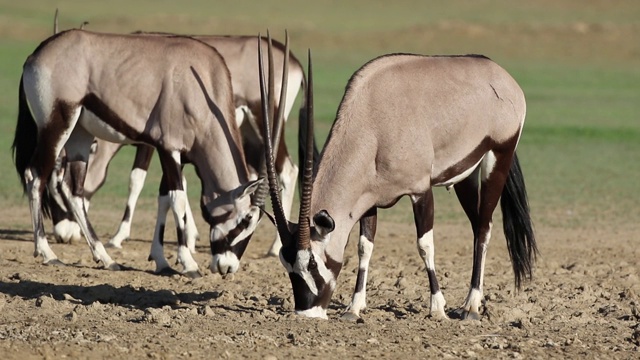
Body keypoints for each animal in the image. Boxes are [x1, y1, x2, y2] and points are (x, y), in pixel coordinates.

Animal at [11, 30, 262, 278]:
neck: (202, 82)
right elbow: (177, 199)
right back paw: (48, 253)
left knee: (73, 189)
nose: (227, 267)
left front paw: (161, 260)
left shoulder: (172, 154)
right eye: (246, 219)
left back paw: (106, 258)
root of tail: (35, 55)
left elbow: (164, 198)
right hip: (57, 125)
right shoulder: (169, 148)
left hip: (79, 135)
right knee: (35, 175)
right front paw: (188, 264)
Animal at [258, 40, 536, 320]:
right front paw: (354, 307)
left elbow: (425, 245)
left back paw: (471, 305)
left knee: (484, 228)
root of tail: (504, 77)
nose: (306, 312)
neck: (372, 124)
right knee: (477, 224)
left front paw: (437, 307)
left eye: (312, 262)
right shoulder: (368, 200)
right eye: (285, 263)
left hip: (498, 157)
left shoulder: (421, 191)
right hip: (465, 176)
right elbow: (364, 247)